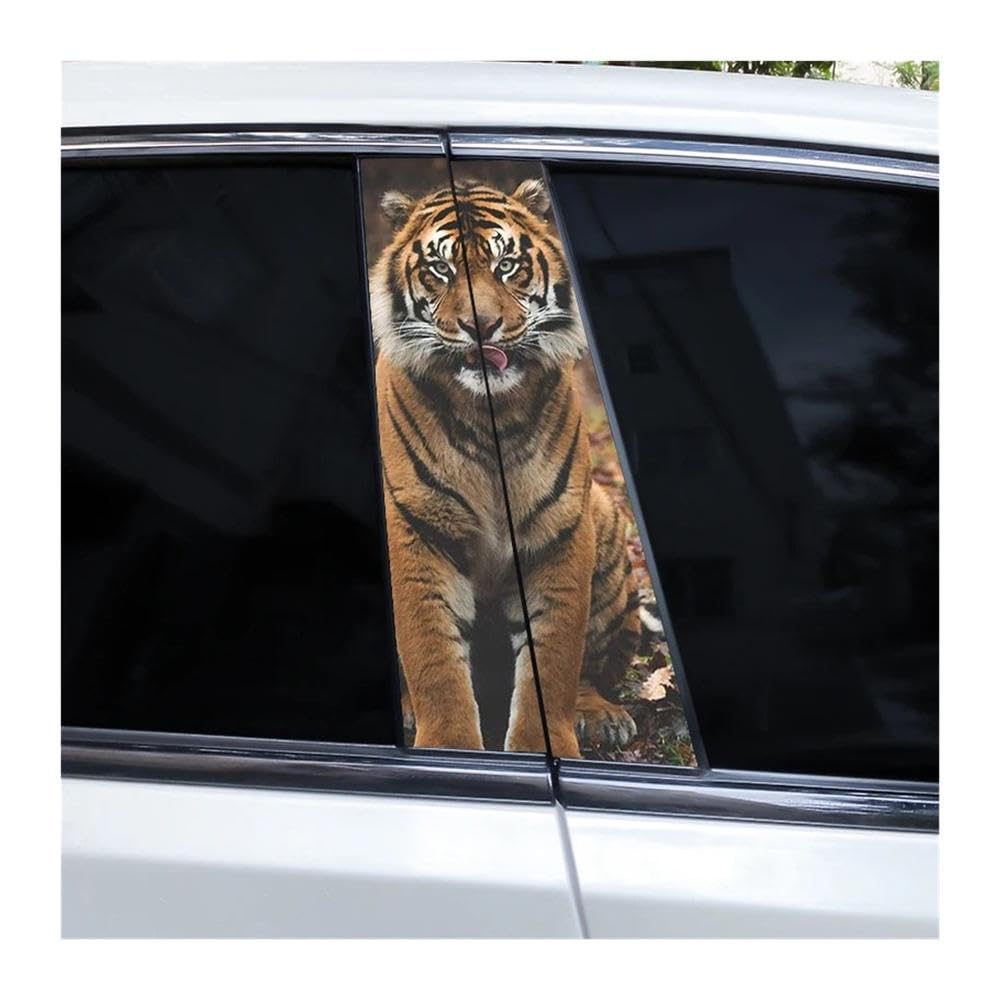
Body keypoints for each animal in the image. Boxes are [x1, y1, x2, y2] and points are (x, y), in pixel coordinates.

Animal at [369, 176, 641, 757]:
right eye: (440, 269)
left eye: (507, 265)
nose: (481, 326)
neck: (486, 412)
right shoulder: (416, 526)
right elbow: (433, 660)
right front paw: (448, 745)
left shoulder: (560, 529)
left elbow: (555, 658)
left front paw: (546, 747)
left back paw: (601, 716)